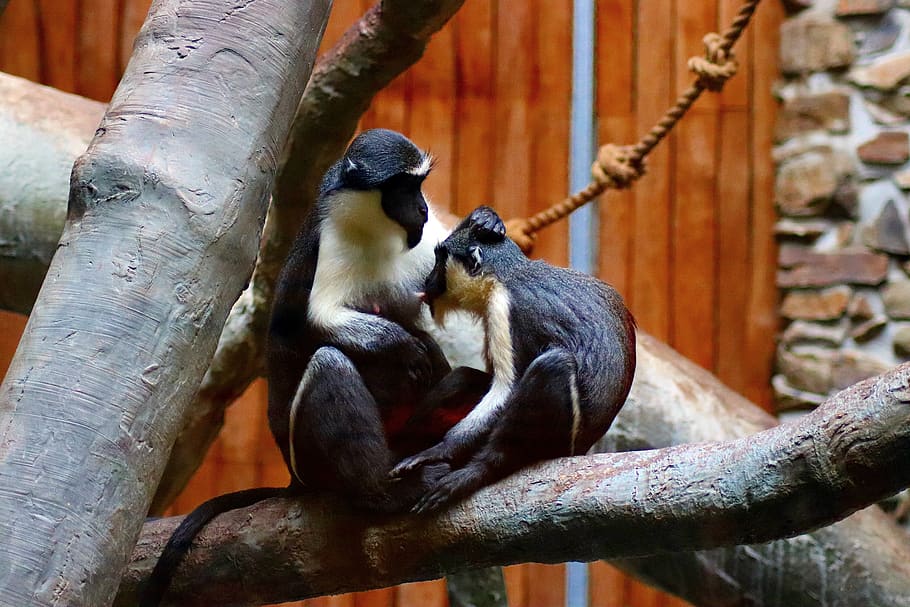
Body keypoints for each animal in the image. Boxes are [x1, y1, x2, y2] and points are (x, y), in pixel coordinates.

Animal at [140, 130, 502, 606]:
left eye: (420, 186)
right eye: (402, 189)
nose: (424, 210)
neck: (377, 231)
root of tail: (295, 479)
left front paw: (486, 221)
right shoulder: (330, 239)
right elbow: (319, 321)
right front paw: (400, 344)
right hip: (312, 458)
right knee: (329, 364)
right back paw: (383, 493)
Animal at [390, 206, 637, 513]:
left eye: (439, 261)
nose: (427, 281)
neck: (504, 277)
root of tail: (580, 449)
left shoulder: (506, 310)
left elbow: (506, 389)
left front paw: (440, 451)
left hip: (555, 442)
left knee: (551, 365)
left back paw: (479, 471)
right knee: (464, 377)